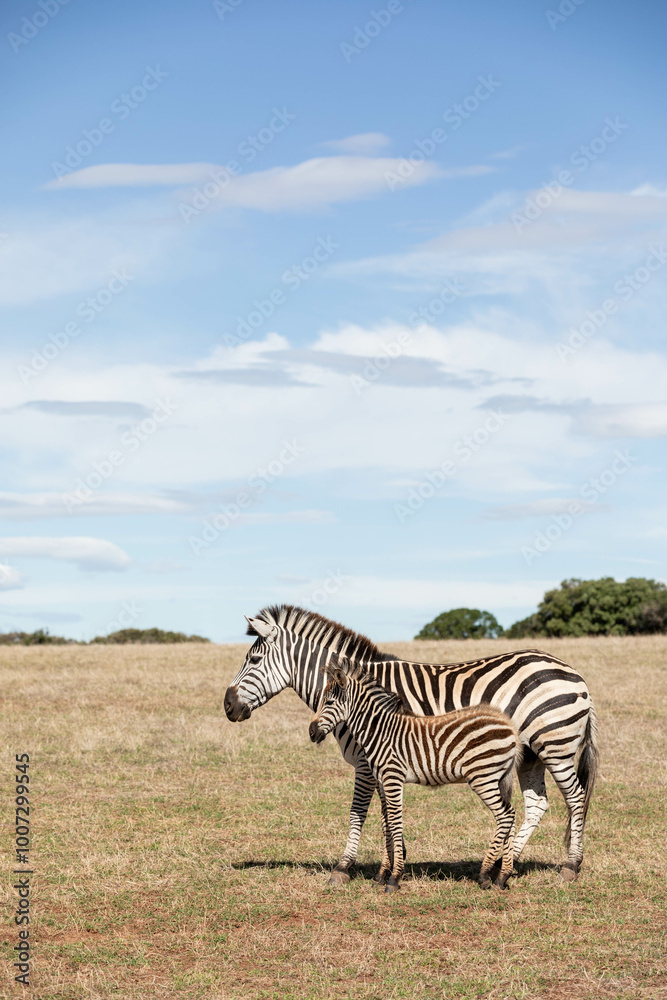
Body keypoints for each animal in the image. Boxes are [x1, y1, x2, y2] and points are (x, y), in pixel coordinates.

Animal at [309, 659, 521, 892]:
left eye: (329, 702)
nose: (311, 732)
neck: (379, 731)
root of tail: (508, 724)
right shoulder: (382, 781)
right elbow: (386, 823)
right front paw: (382, 874)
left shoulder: (393, 777)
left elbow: (395, 822)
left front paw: (394, 878)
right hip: (497, 778)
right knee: (510, 815)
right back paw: (502, 877)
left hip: (483, 777)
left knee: (505, 815)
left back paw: (484, 875)